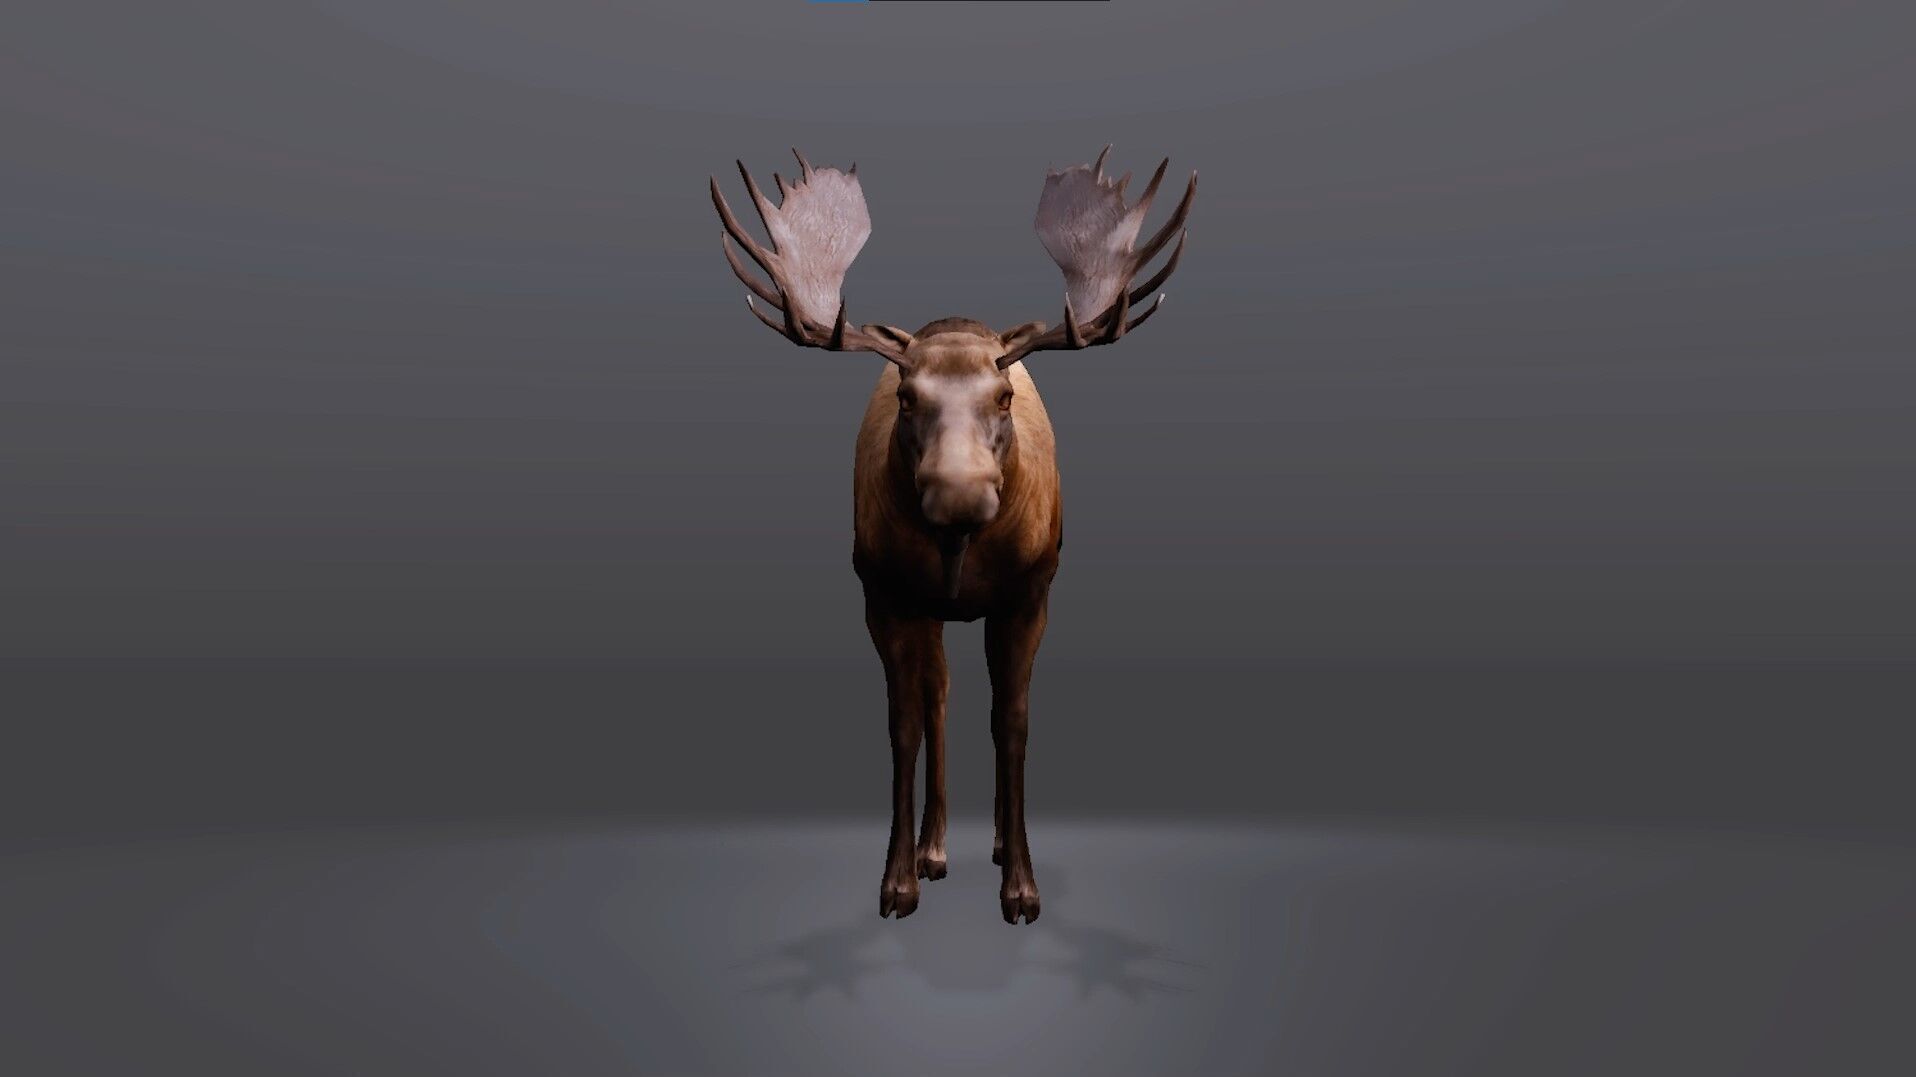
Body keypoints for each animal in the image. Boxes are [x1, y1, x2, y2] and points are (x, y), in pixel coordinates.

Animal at [709, 146, 1195, 925]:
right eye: (908, 398)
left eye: (1003, 397)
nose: (959, 492)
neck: (960, 556)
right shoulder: (884, 594)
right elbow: (905, 722)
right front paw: (897, 879)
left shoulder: (1031, 594)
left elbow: (1013, 722)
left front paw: (1021, 886)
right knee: (938, 694)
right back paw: (933, 849)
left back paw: (989, 843)